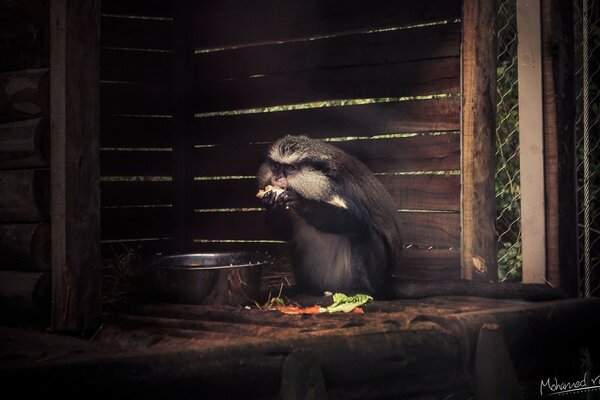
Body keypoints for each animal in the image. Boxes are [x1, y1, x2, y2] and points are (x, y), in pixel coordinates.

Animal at [256, 134, 564, 300]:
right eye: (275, 166)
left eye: (290, 169)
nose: (278, 178)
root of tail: (382, 281)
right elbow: (282, 232)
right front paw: (271, 202)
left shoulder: (338, 190)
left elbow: (357, 222)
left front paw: (298, 201)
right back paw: (303, 291)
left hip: (369, 271)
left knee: (364, 236)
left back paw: (361, 293)